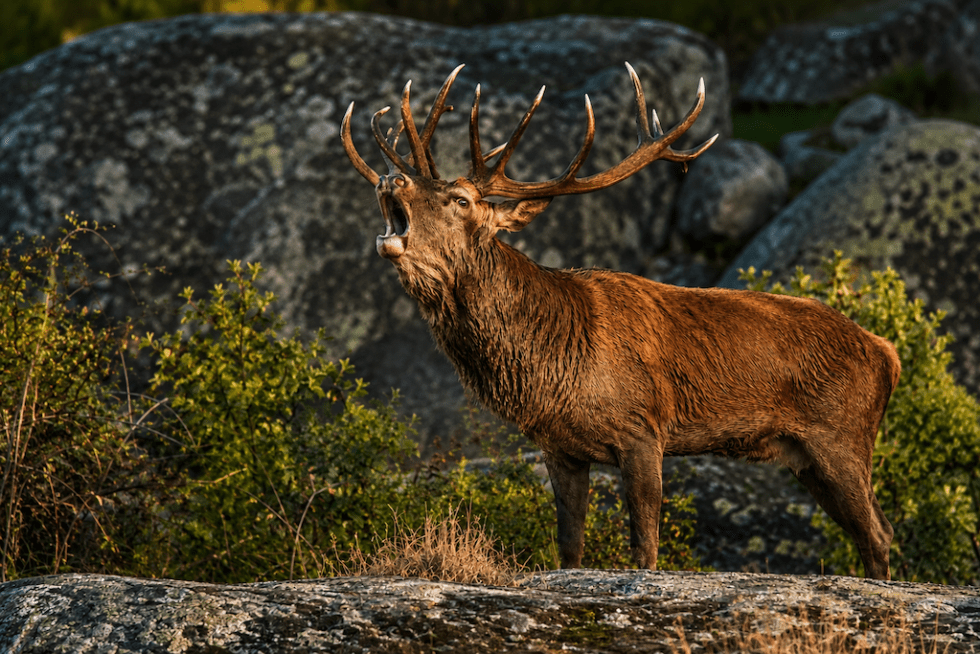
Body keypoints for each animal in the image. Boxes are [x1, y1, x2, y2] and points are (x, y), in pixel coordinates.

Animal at [340, 63, 901, 579]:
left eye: (460, 200)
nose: (392, 177)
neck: (556, 365)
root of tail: (887, 352)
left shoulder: (643, 429)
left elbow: (645, 548)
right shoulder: (560, 448)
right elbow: (569, 547)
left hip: (841, 434)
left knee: (877, 531)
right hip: (805, 456)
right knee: (870, 529)